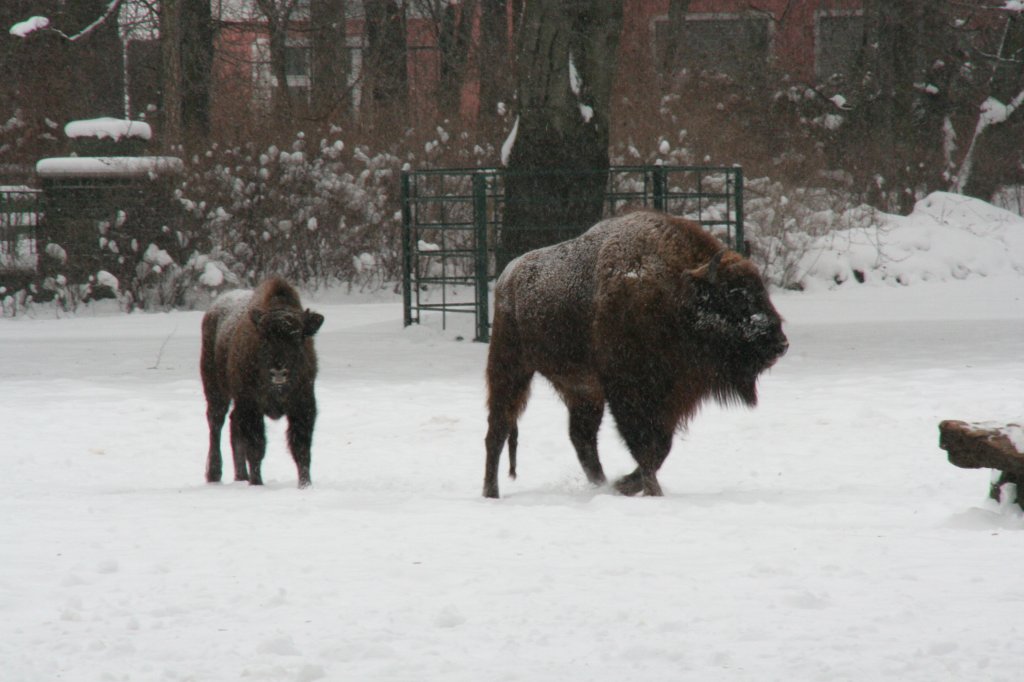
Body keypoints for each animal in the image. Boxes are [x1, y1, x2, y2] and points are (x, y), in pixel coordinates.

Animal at [199, 278, 323, 489]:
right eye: (264, 338)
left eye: (298, 337)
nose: (278, 371)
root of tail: (213, 311)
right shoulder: (251, 406)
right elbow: (256, 447)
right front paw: (257, 483)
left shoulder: (302, 405)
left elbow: (301, 448)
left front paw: (305, 485)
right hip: (216, 391)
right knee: (216, 424)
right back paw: (215, 475)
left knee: (233, 424)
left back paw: (241, 476)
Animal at [483, 209, 786, 497]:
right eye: (735, 295)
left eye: (761, 289)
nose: (779, 343)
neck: (676, 291)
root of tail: (507, 276)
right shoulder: (628, 391)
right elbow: (644, 446)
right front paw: (650, 490)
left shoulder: (669, 399)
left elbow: (660, 446)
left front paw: (625, 484)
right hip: (510, 369)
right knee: (498, 430)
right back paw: (491, 492)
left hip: (582, 390)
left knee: (582, 438)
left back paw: (602, 485)